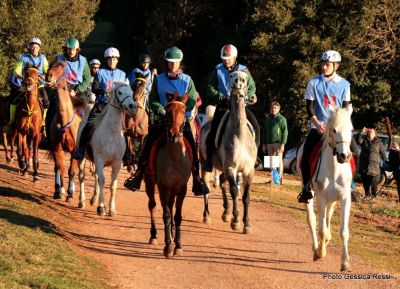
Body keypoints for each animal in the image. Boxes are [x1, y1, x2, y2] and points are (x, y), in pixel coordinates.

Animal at [46, 61, 81, 199]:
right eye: (50, 65)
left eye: (61, 67)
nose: (48, 75)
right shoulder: (56, 147)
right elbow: (59, 167)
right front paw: (58, 190)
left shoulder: (76, 150)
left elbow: (72, 171)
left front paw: (70, 193)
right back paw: (61, 189)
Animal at [77, 82, 137, 215]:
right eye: (120, 92)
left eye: (131, 92)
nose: (132, 106)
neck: (112, 133)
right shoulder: (100, 159)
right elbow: (102, 181)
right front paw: (101, 207)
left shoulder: (117, 163)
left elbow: (112, 185)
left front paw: (112, 209)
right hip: (82, 159)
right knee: (82, 177)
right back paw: (82, 201)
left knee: (96, 176)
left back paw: (93, 198)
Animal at [145, 93, 192, 258]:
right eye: (168, 110)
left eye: (184, 110)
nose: (173, 133)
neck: (175, 157)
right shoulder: (163, 188)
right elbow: (165, 215)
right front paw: (167, 247)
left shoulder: (182, 188)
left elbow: (177, 216)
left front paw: (178, 245)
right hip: (149, 183)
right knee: (152, 206)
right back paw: (153, 235)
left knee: (171, 207)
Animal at [199, 70, 256, 234]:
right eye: (232, 76)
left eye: (245, 78)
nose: (239, 82)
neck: (239, 135)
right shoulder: (231, 167)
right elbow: (235, 191)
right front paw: (236, 221)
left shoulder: (248, 171)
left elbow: (246, 196)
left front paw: (246, 224)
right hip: (205, 165)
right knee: (206, 187)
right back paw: (207, 216)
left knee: (222, 182)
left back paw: (226, 212)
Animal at [296, 104, 354, 272]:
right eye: (334, 130)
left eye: (351, 129)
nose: (344, 156)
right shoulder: (321, 198)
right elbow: (321, 229)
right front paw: (319, 252)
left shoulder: (344, 198)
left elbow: (343, 231)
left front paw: (345, 263)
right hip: (309, 193)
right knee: (313, 220)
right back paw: (316, 248)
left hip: (332, 200)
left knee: (327, 218)